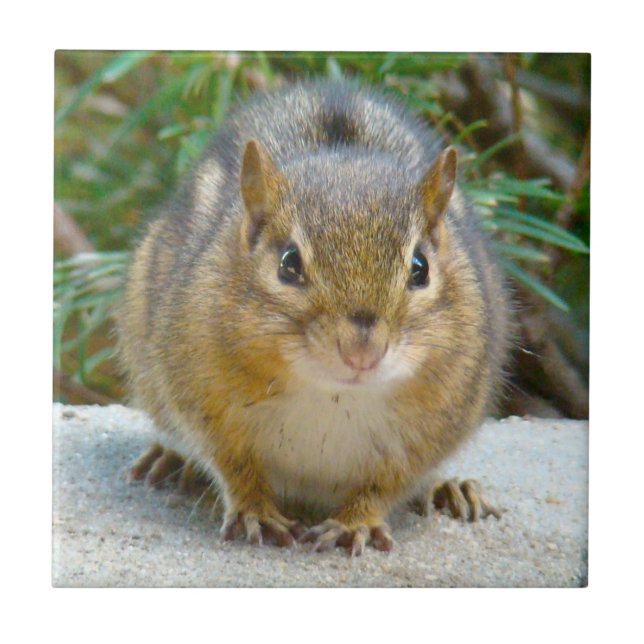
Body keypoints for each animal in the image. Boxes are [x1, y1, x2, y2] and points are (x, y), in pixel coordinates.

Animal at [118, 80, 513, 556]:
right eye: (288, 263)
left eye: (420, 267)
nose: (362, 352)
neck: (332, 394)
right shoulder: (202, 397)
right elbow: (233, 464)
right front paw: (255, 510)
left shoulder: (433, 427)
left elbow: (385, 484)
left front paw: (355, 523)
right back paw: (171, 459)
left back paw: (450, 489)